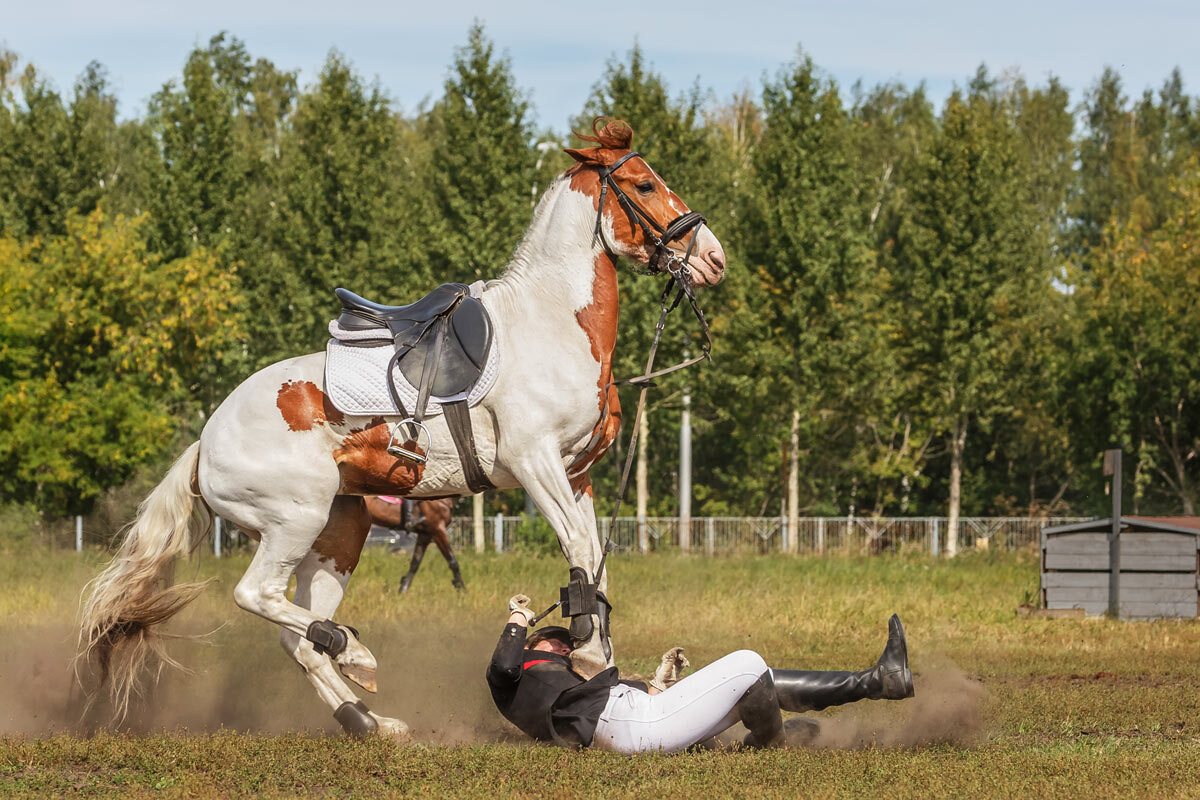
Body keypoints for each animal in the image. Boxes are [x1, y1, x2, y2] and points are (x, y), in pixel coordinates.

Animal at [79, 118, 724, 738]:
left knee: (298, 635)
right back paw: (355, 654)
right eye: (644, 185)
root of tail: (205, 442)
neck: (551, 322)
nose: (714, 259)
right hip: (295, 518)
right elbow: (581, 550)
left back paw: (368, 720)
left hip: (339, 532)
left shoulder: (577, 475)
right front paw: (591, 659)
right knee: (257, 596)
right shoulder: (536, 464)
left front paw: (603, 662)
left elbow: (593, 558)